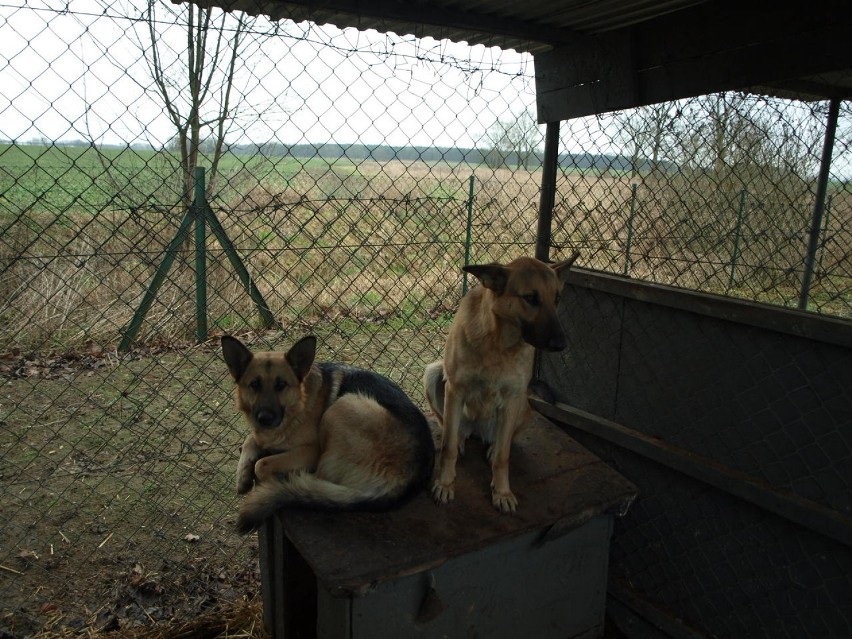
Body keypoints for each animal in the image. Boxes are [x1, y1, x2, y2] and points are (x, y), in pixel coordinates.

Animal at [223, 336, 436, 536]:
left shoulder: (311, 452)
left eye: (281, 385)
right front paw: (242, 476)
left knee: (315, 480)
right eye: (254, 384)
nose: (264, 418)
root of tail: (405, 483)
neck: (300, 402)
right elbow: (251, 439)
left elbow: (262, 464)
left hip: (343, 405)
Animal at [424, 252, 580, 512]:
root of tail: (477, 430)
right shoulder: (455, 390)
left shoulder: (512, 398)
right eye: (530, 298)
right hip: (433, 374)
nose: (561, 345)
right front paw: (445, 484)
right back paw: (461, 439)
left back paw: (493, 446)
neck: (498, 343)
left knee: (504, 441)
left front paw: (502, 492)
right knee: (452, 429)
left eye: (557, 298)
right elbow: (447, 447)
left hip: (522, 404)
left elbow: (503, 457)